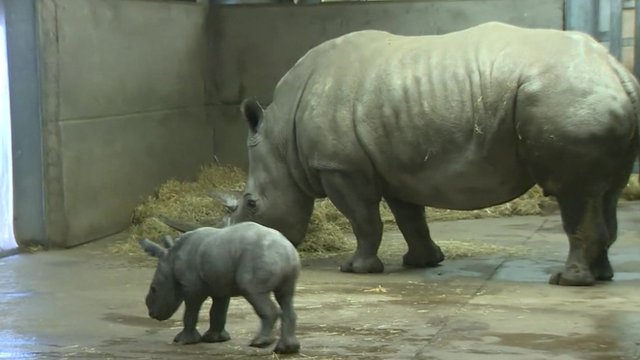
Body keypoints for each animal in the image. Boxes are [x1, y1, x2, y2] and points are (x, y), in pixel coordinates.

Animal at [139, 222, 302, 354]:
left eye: (154, 288)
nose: (152, 314)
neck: (171, 259)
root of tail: (288, 251)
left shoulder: (192, 287)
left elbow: (190, 312)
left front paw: (182, 341)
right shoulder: (220, 285)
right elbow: (217, 311)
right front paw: (214, 339)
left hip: (261, 257)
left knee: (254, 292)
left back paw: (259, 343)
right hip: (280, 260)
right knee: (286, 296)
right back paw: (287, 349)